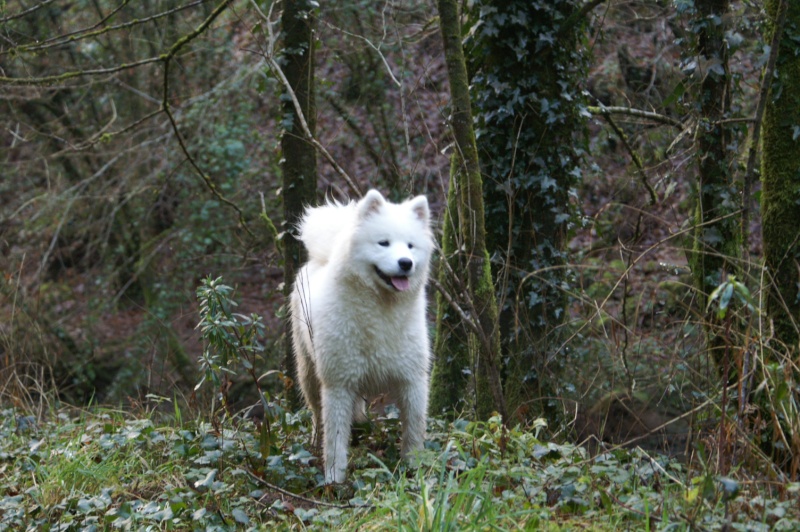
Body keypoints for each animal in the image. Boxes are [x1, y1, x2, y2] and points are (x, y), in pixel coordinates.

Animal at [290, 189, 434, 484]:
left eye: (410, 246)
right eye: (383, 243)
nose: (406, 263)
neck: (381, 309)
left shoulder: (412, 379)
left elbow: (414, 429)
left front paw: (414, 467)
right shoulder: (338, 384)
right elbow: (334, 439)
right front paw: (334, 479)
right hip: (309, 371)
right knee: (317, 415)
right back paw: (314, 443)